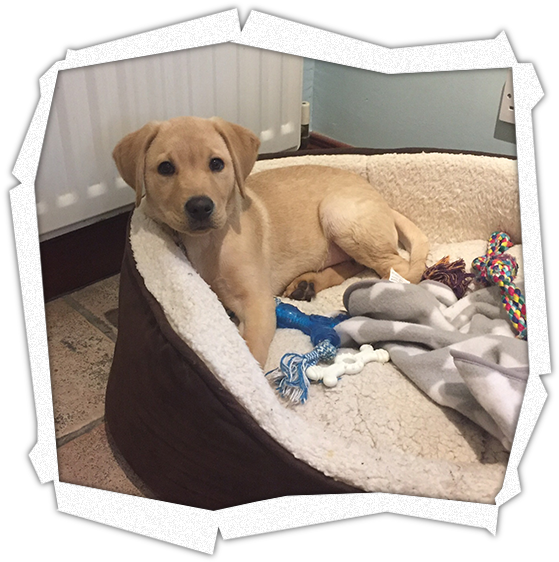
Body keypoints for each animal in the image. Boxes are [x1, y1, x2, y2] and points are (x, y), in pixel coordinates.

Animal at [112, 116, 428, 366]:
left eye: (216, 164)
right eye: (165, 168)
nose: (200, 207)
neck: (209, 242)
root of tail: (382, 200)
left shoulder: (258, 303)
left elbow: (250, 354)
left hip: (339, 213)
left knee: (401, 270)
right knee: (357, 265)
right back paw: (308, 282)